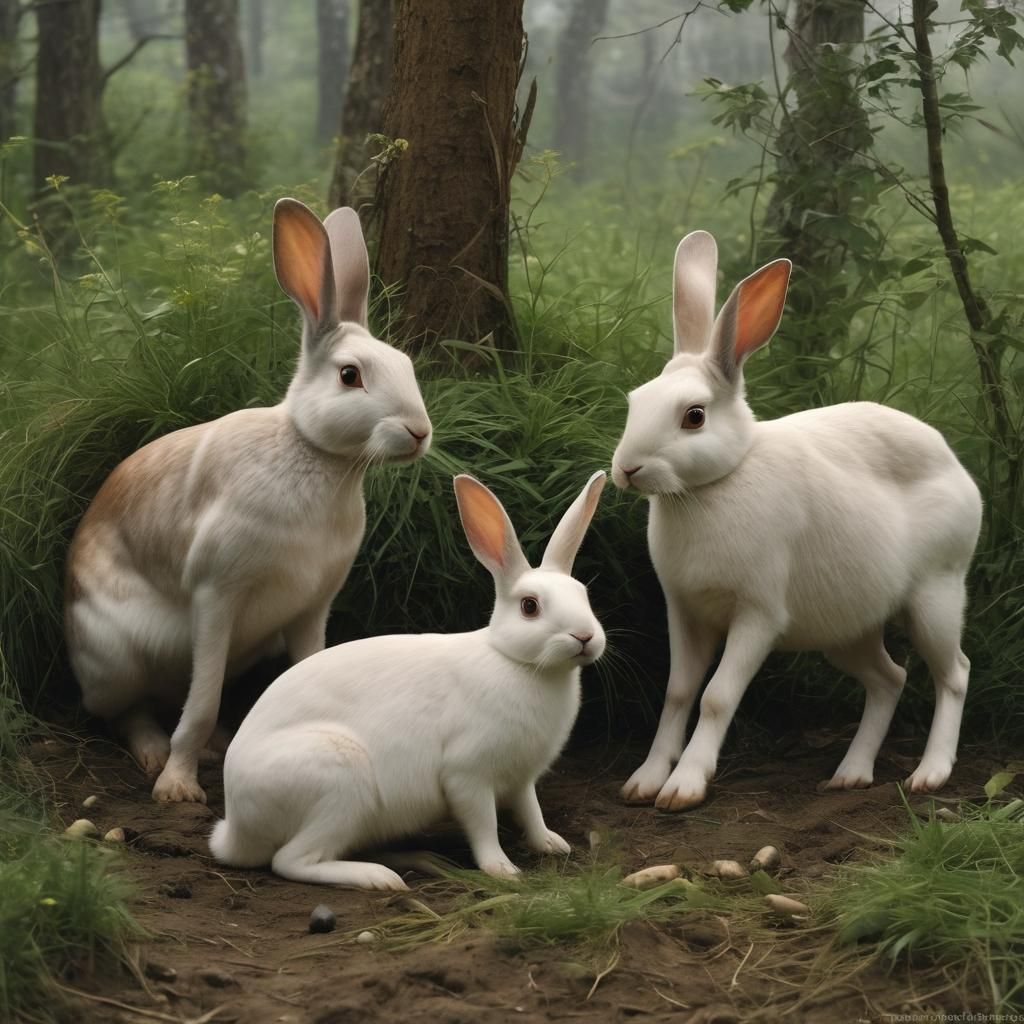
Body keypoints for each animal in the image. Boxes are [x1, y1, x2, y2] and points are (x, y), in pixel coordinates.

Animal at [64, 198, 432, 805]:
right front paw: (178, 788)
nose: (420, 432)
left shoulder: (312, 606)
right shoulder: (218, 593)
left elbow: (309, 669)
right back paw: (156, 754)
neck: (313, 453)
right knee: (126, 711)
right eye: (350, 375)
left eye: (406, 365)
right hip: (116, 658)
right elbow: (203, 699)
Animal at [208, 470, 607, 889]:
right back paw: (380, 878)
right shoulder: (467, 774)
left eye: (584, 595)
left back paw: (418, 858)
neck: (514, 661)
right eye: (530, 607)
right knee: (292, 860)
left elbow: (531, 811)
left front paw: (552, 844)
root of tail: (235, 829)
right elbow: (483, 826)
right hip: (340, 788)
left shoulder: (521, 778)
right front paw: (503, 870)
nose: (585, 637)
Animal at [611, 230, 983, 811]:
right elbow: (678, 691)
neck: (715, 484)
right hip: (847, 629)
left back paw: (930, 774)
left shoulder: (757, 614)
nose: (626, 469)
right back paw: (850, 774)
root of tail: (958, 470)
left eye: (694, 416)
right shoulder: (685, 611)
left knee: (954, 674)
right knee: (890, 678)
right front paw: (644, 782)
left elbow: (716, 697)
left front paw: (683, 788)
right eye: (634, 402)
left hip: (935, 598)